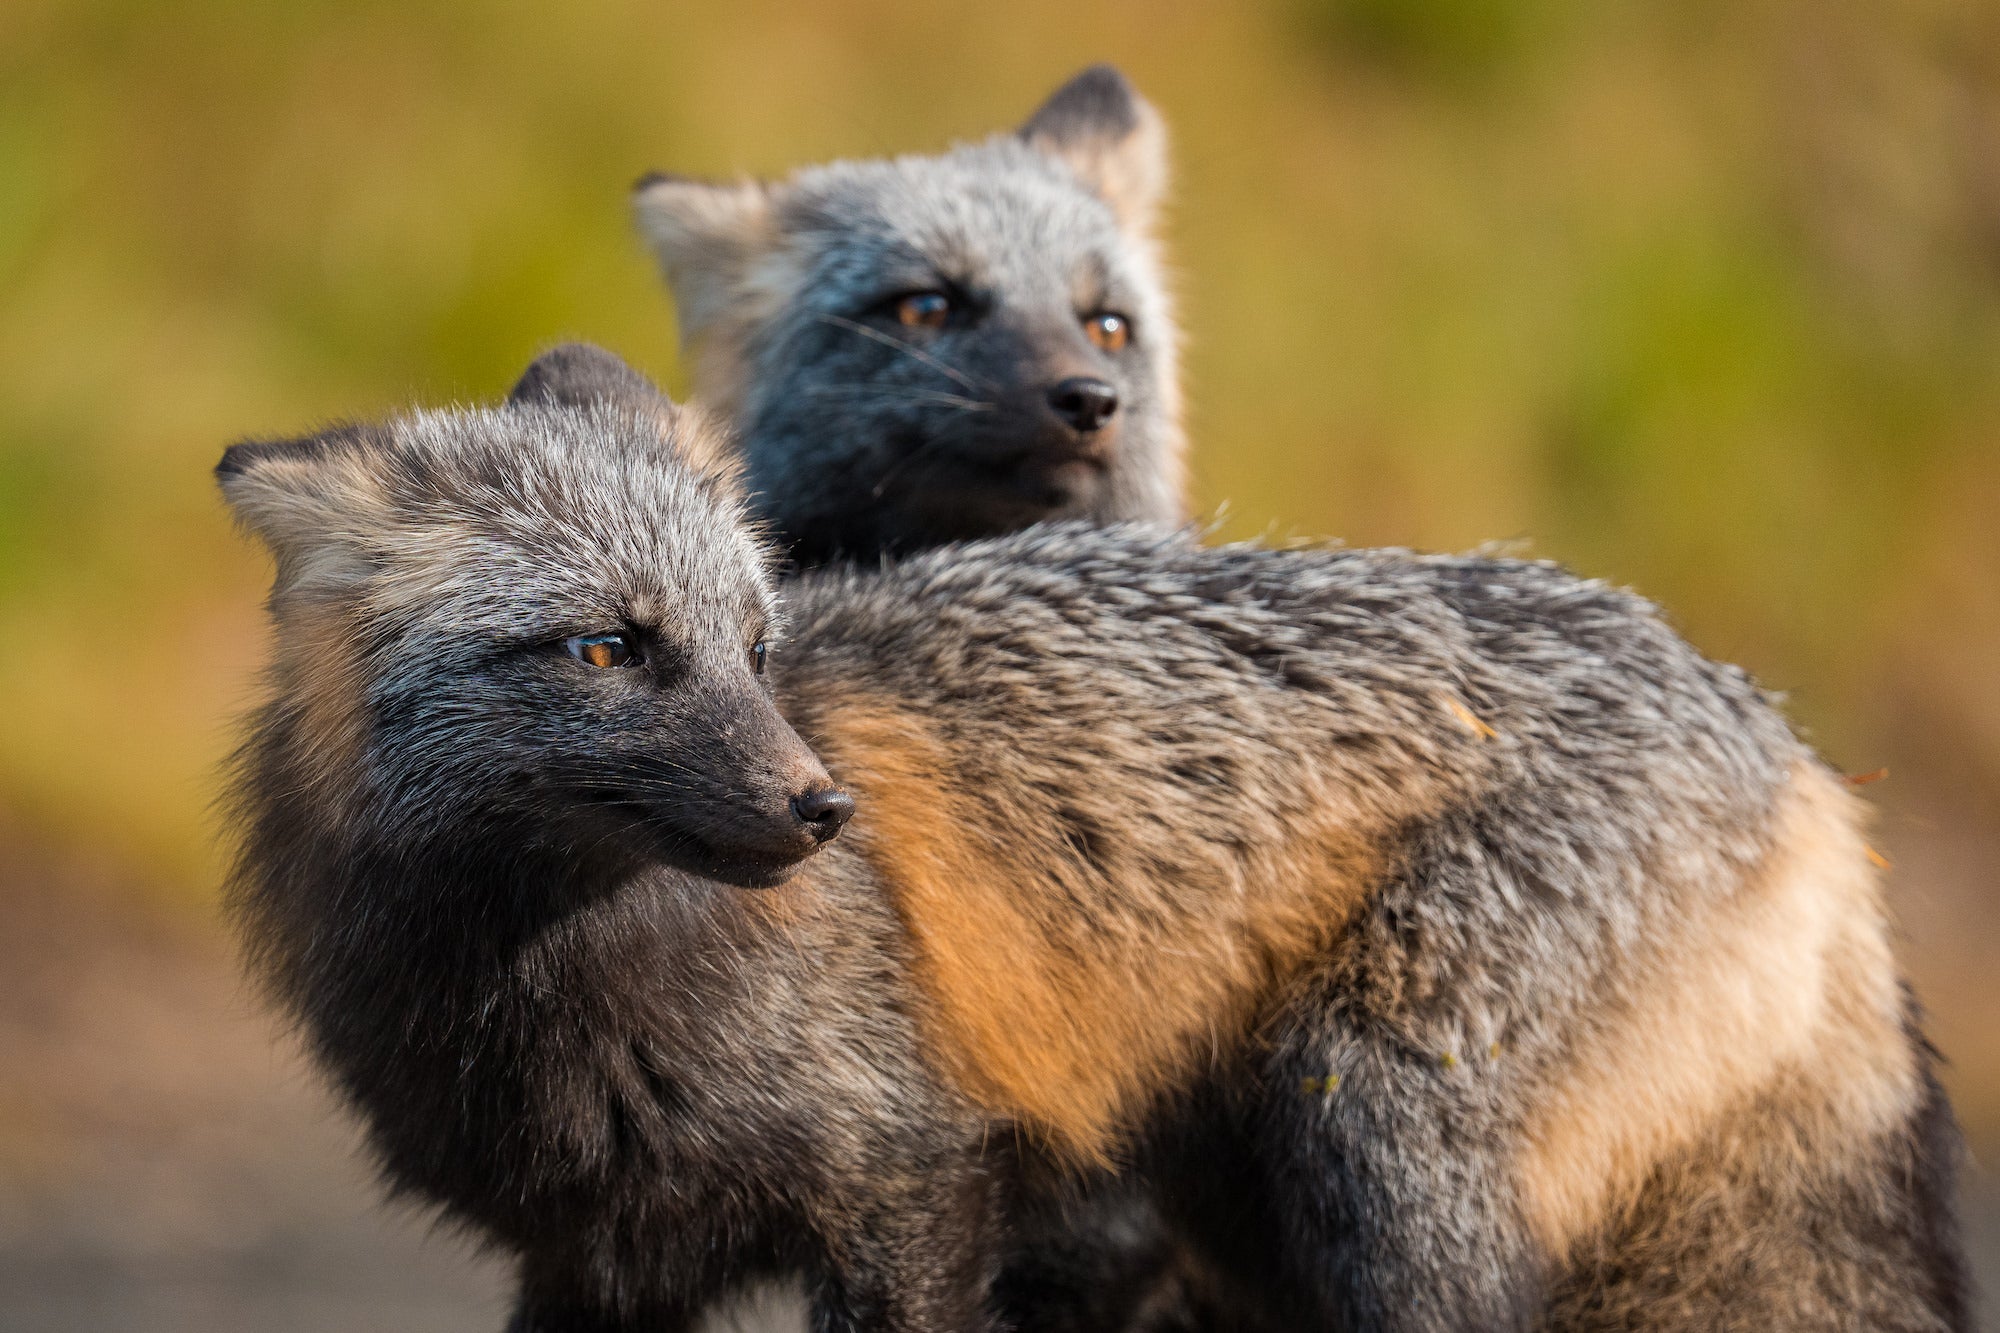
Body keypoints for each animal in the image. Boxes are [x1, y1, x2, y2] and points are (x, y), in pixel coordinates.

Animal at [219, 345, 1967, 1332]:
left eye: (755, 646)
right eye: (609, 649)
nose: (819, 807)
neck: (555, 1007)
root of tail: (1802, 754)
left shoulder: (916, 1188)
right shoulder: (600, 1257)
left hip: (1377, 1155)